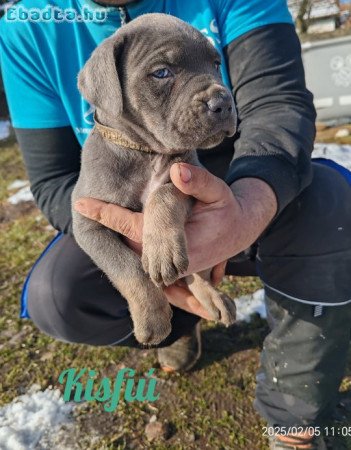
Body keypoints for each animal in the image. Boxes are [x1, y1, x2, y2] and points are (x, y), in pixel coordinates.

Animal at [73, 13, 239, 344]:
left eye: (216, 64)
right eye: (162, 73)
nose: (223, 102)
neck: (146, 153)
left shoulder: (188, 177)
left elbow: (165, 193)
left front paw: (162, 252)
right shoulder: (87, 222)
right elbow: (126, 267)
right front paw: (152, 317)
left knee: (197, 274)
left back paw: (214, 299)